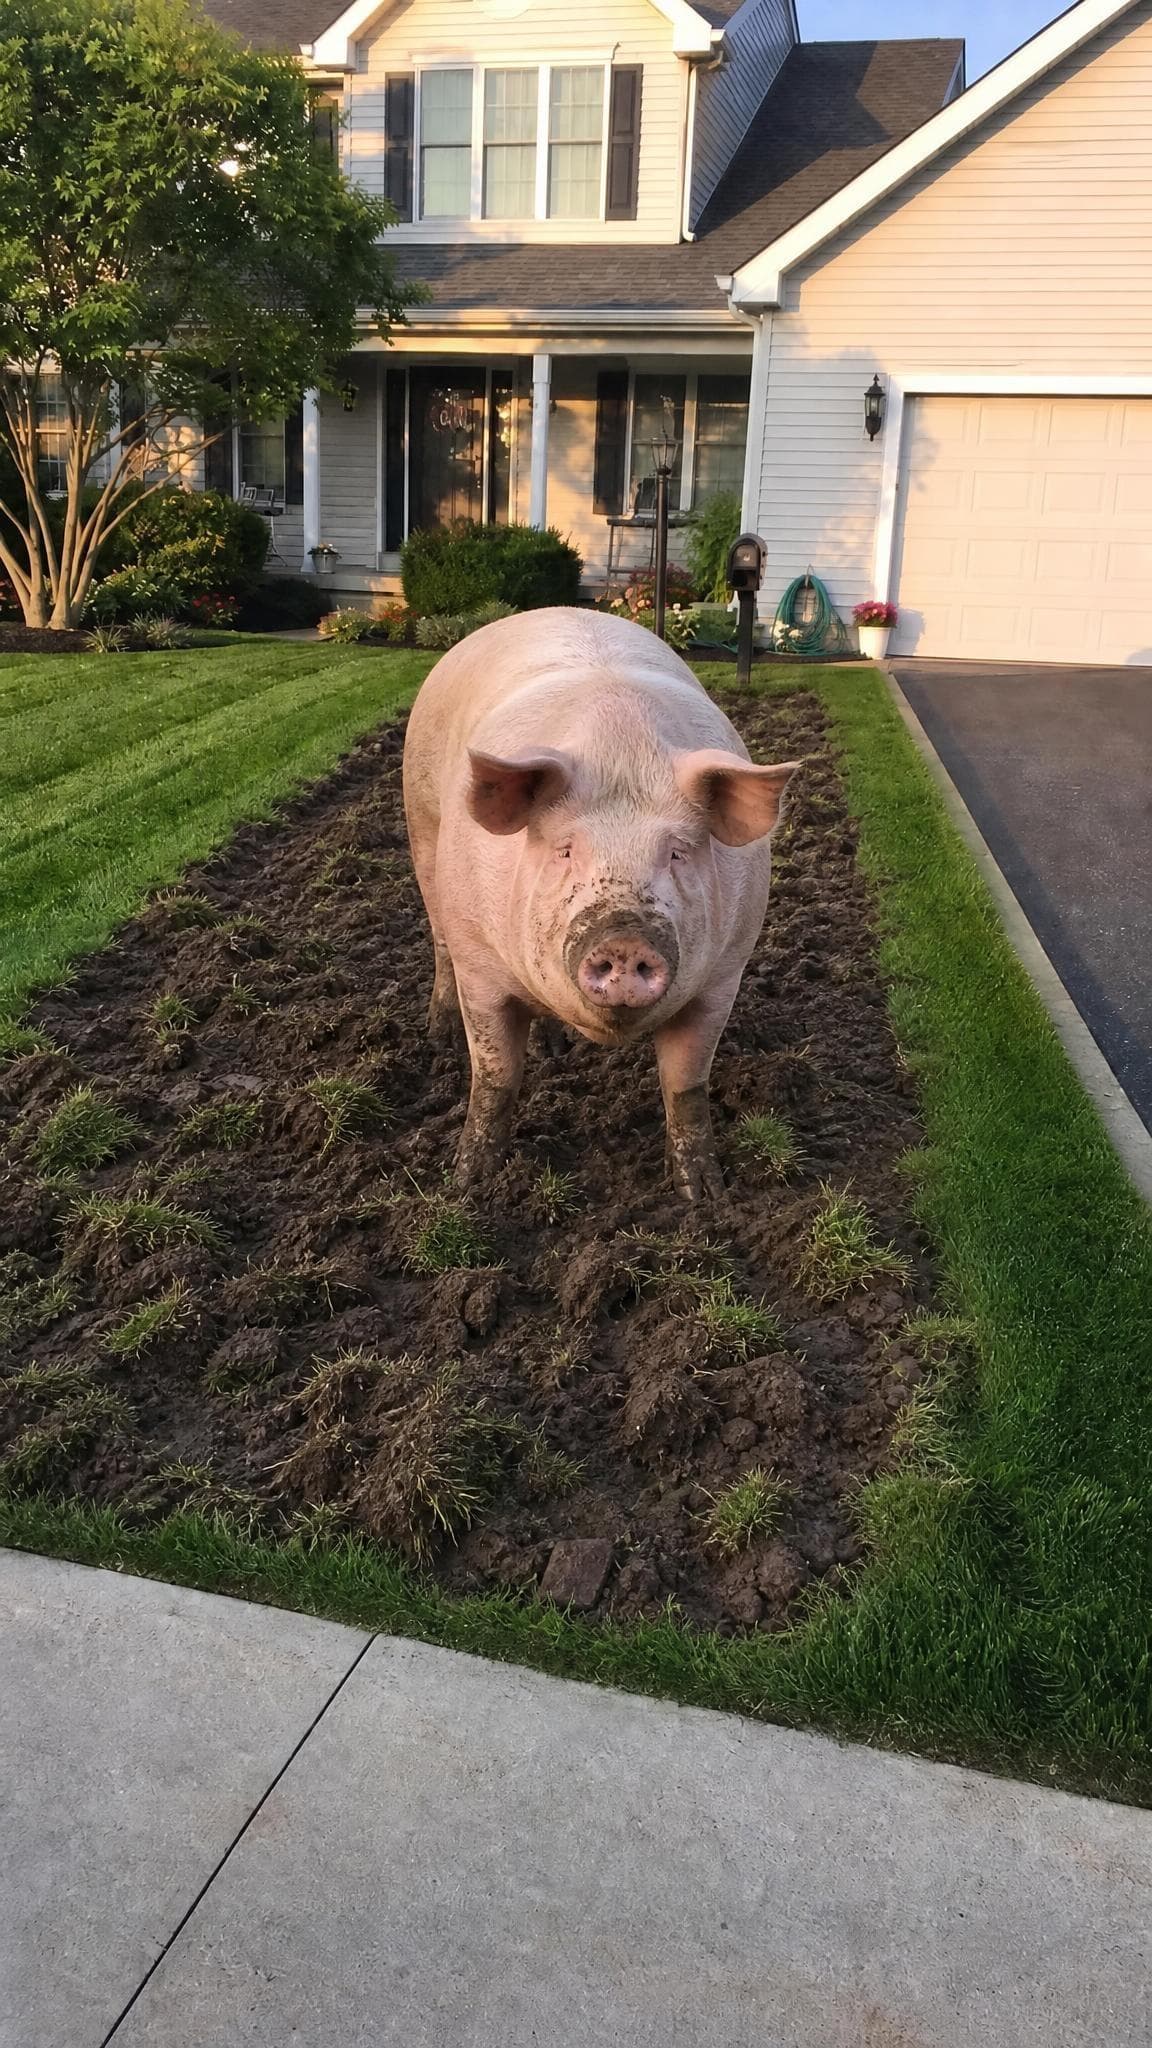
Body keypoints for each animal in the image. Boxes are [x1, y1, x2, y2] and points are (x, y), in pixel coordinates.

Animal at [402, 606, 799, 1200]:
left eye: (677, 853)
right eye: (565, 850)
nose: (625, 934)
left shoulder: (724, 974)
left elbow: (686, 1082)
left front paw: (704, 1195)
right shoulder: (482, 969)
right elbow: (495, 1076)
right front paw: (467, 1184)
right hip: (422, 826)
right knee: (439, 940)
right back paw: (440, 1035)